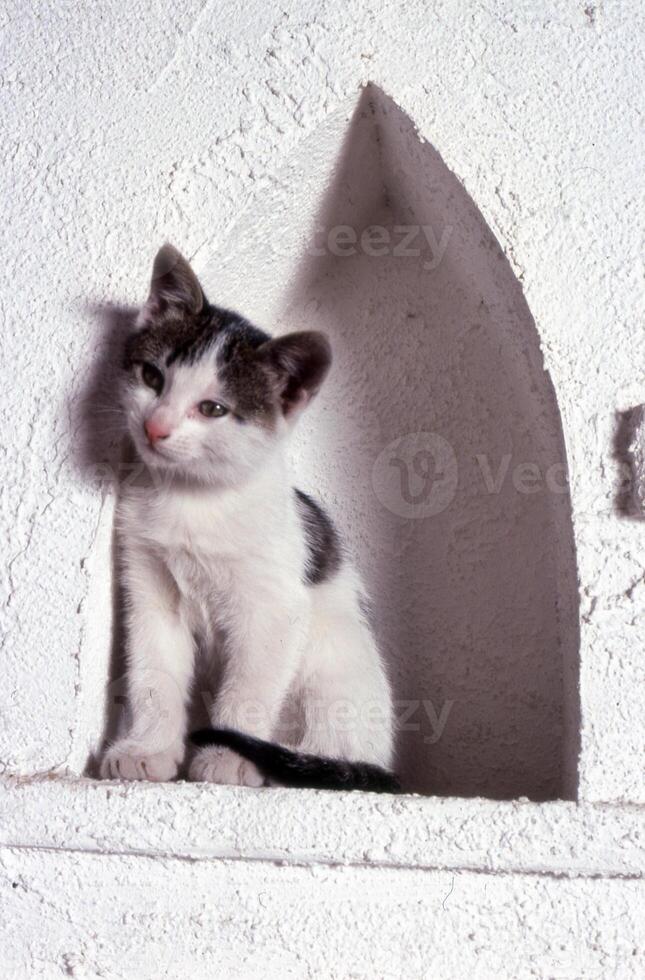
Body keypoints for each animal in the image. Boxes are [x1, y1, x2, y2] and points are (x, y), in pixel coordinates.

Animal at [99, 245, 398, 788]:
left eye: (213, 409)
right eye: (152, 378)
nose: (155, 428)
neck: (194, 499)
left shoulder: (273, 608)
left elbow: (250, 687)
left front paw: (226, 758)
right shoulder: (149, 585)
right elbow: (153, 672)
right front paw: (146, 749)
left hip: (336, 657)